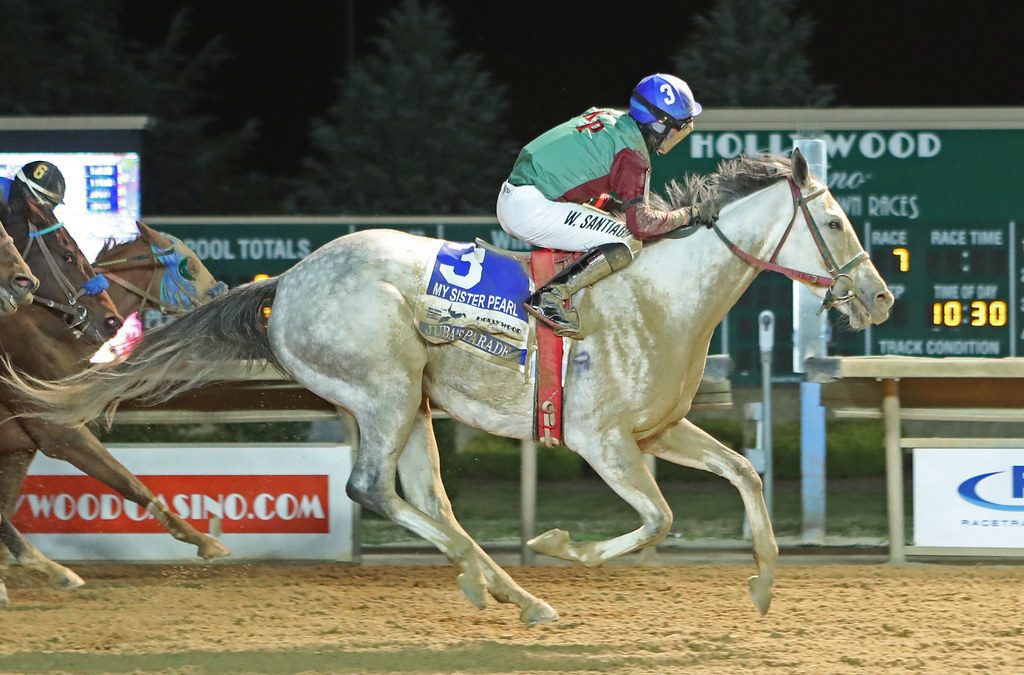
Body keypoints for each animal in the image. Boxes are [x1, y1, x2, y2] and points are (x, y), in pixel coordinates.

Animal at [0, 216, 226, 606]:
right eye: (190, 266)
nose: (223, 294)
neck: (50, 332)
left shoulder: (20, 448)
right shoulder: (58, 433)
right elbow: (127, 481)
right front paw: (204, 540)